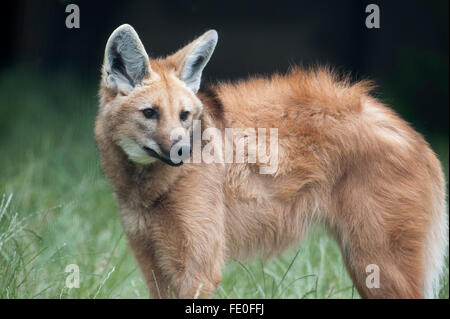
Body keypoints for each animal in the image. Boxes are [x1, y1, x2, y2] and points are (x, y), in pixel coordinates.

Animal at [95, 25, 446, 300]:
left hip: (376, 263)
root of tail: (416, 136)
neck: (145, 188)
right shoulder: (153, 261)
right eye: (150, 113)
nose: (183, 150)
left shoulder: (198, 269)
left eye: (184, 115)